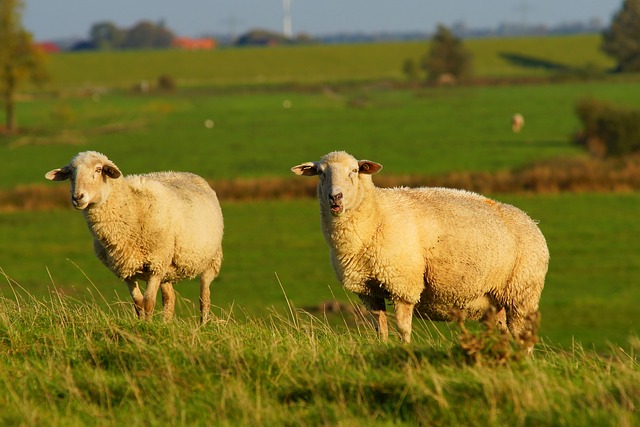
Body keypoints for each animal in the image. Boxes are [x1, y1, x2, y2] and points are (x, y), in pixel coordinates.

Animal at [43, 152, 224, 322]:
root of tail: (188, 173)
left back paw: (202, 324)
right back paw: (166, 323)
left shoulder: (155, 265)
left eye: (98, 169)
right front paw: (142, 323)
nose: (77, 198)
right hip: (167, 267)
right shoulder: (126, 268)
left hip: (210, 260)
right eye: (70, 173)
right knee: (169, 298)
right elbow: (138, 302)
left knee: (204, 298)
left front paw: (148, 325)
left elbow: (148, 301)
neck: (131, 207)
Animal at [292, 150, 548, 352]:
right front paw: (383, 347)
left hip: (522, 293)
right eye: (321, 173)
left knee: (523, 337)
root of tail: (532, 222)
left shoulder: (403, 283)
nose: (335, 197)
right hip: (496, 301)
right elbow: (380, 328)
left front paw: (405, 350)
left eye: (354, 171)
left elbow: (403, 328)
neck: (376, 216)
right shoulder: (368, 290)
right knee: (504, 333)